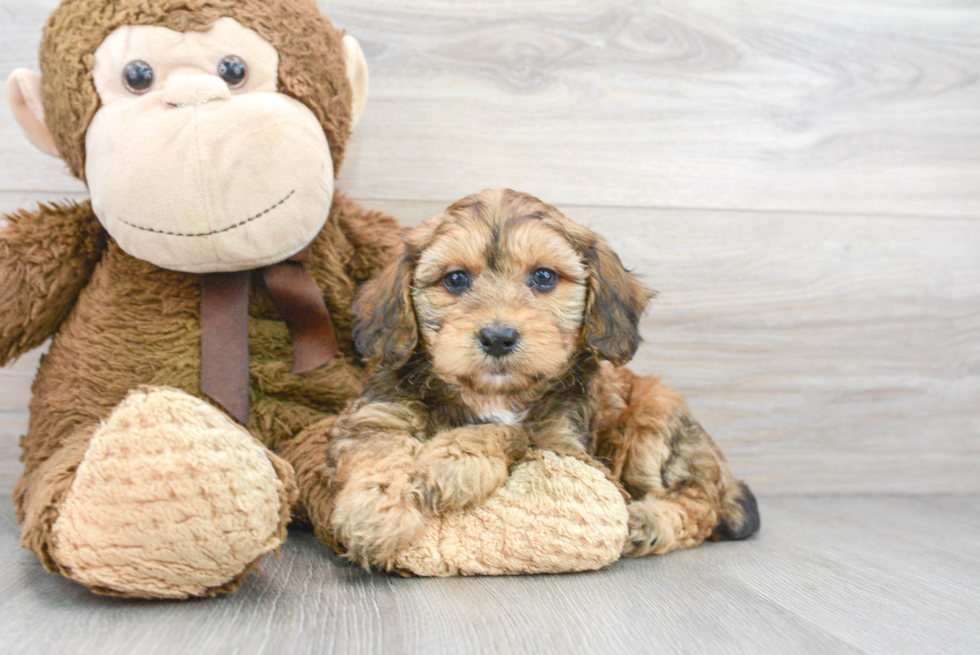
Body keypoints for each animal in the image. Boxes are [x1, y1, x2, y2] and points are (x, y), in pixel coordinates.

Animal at [324, 188, 756, 568]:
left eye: (544, 277)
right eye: (455, 279)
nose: (498, 337)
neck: (493, 395)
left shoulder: (569, 452)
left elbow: (515, 433)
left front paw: (454, 459)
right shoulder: (377, 413)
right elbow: (379, 453)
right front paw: (376, 515)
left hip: (657, 409)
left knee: (698, 505)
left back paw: (645, 524)